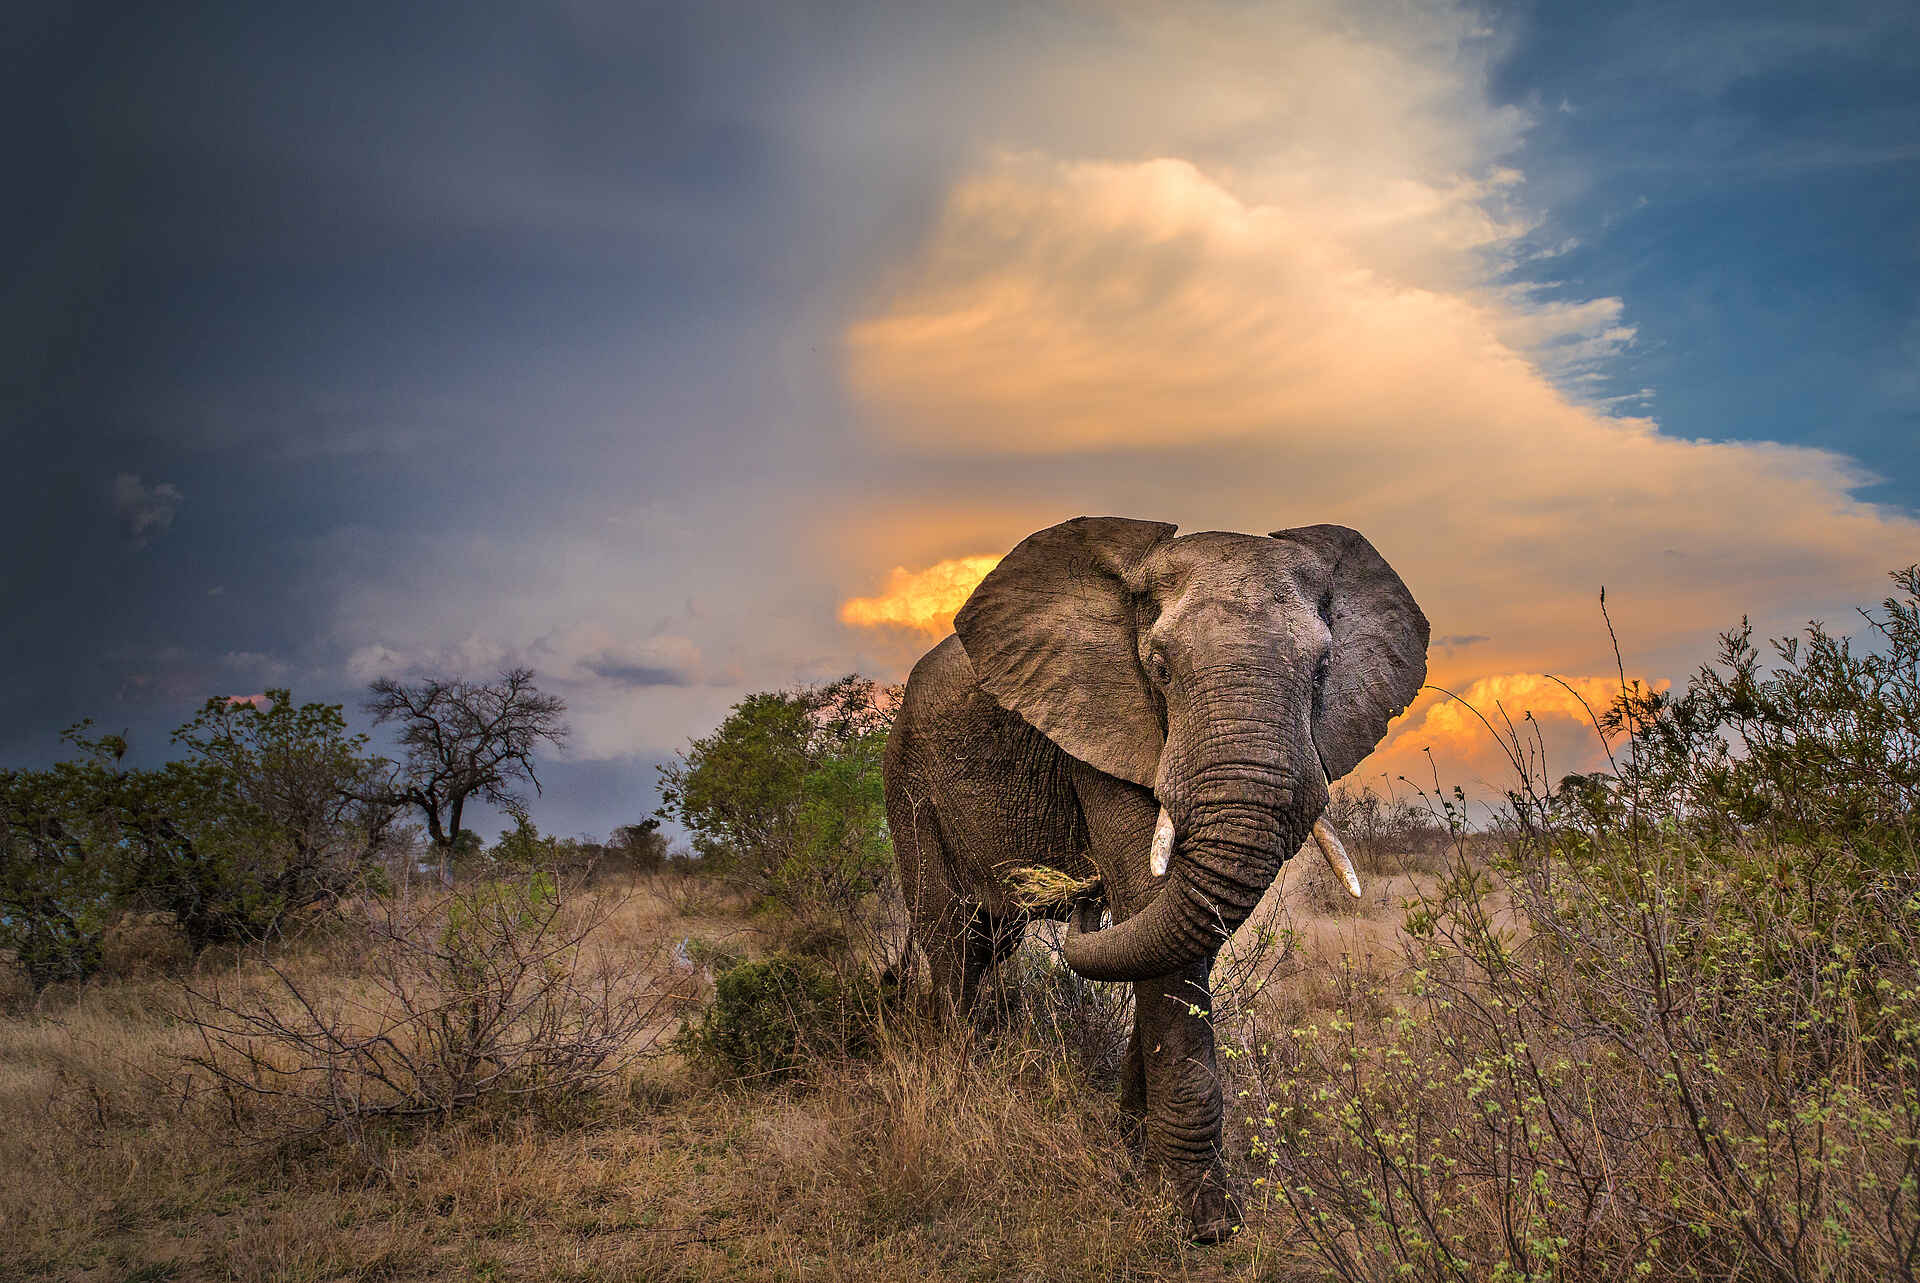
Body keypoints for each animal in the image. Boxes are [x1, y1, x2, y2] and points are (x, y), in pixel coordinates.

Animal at [881, 516, 1428, 1241]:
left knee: (986, 941)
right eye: (1161, 668)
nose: (1079, 900)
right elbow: (1152, 908)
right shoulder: (1101, 731)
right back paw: (955, 1092)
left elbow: (1171, 937)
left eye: (1322, 670)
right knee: (947, 934)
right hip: (908, 779)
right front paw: (1206, 1223)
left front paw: (1136, 1161)